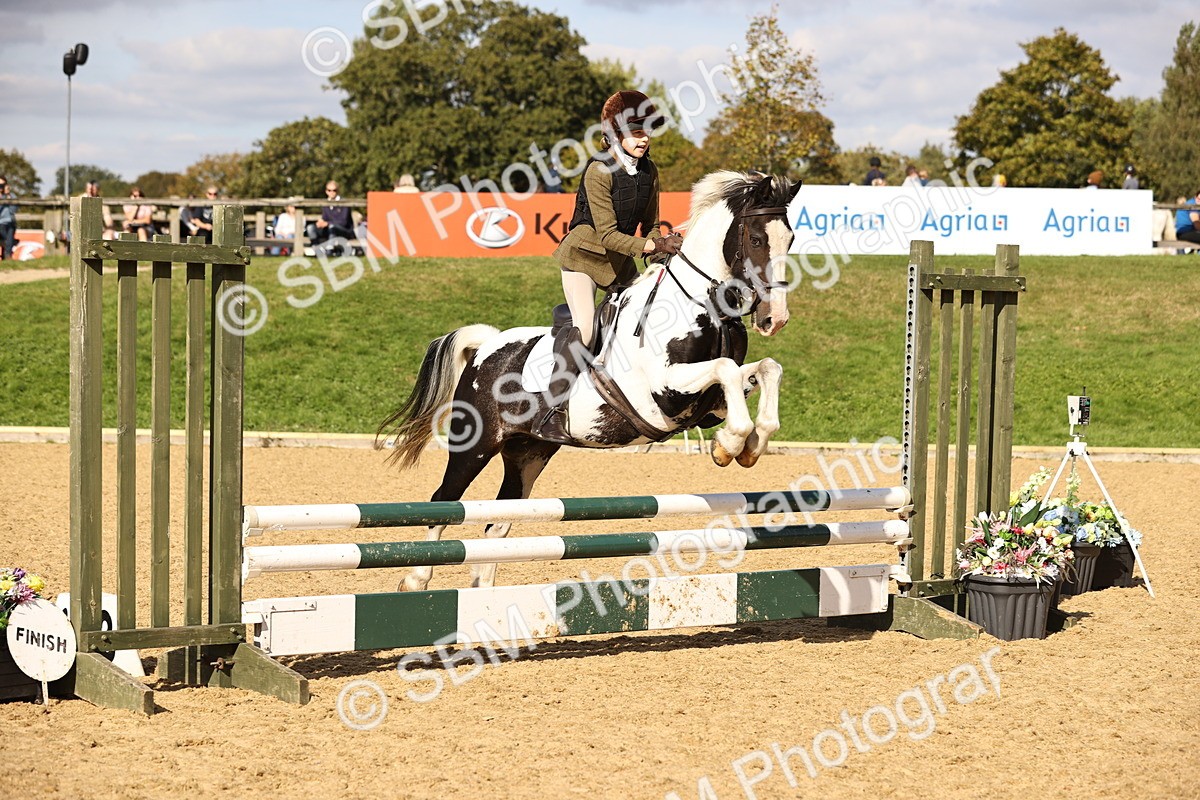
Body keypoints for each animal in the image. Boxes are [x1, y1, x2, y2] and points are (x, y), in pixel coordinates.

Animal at [377, 170, 801, 591]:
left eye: (791, 239)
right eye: (757, 239)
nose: (774, 319)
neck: (702, 305)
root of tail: (486, 347)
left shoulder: (708, 403)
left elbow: (766, 369)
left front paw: (749, 444)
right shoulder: (664, 394)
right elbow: (726, 369)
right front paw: (728, 445)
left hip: (529, 452)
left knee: (497, 523)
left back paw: (483, 590)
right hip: (476, 444)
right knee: (445, 501)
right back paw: (416, 579)